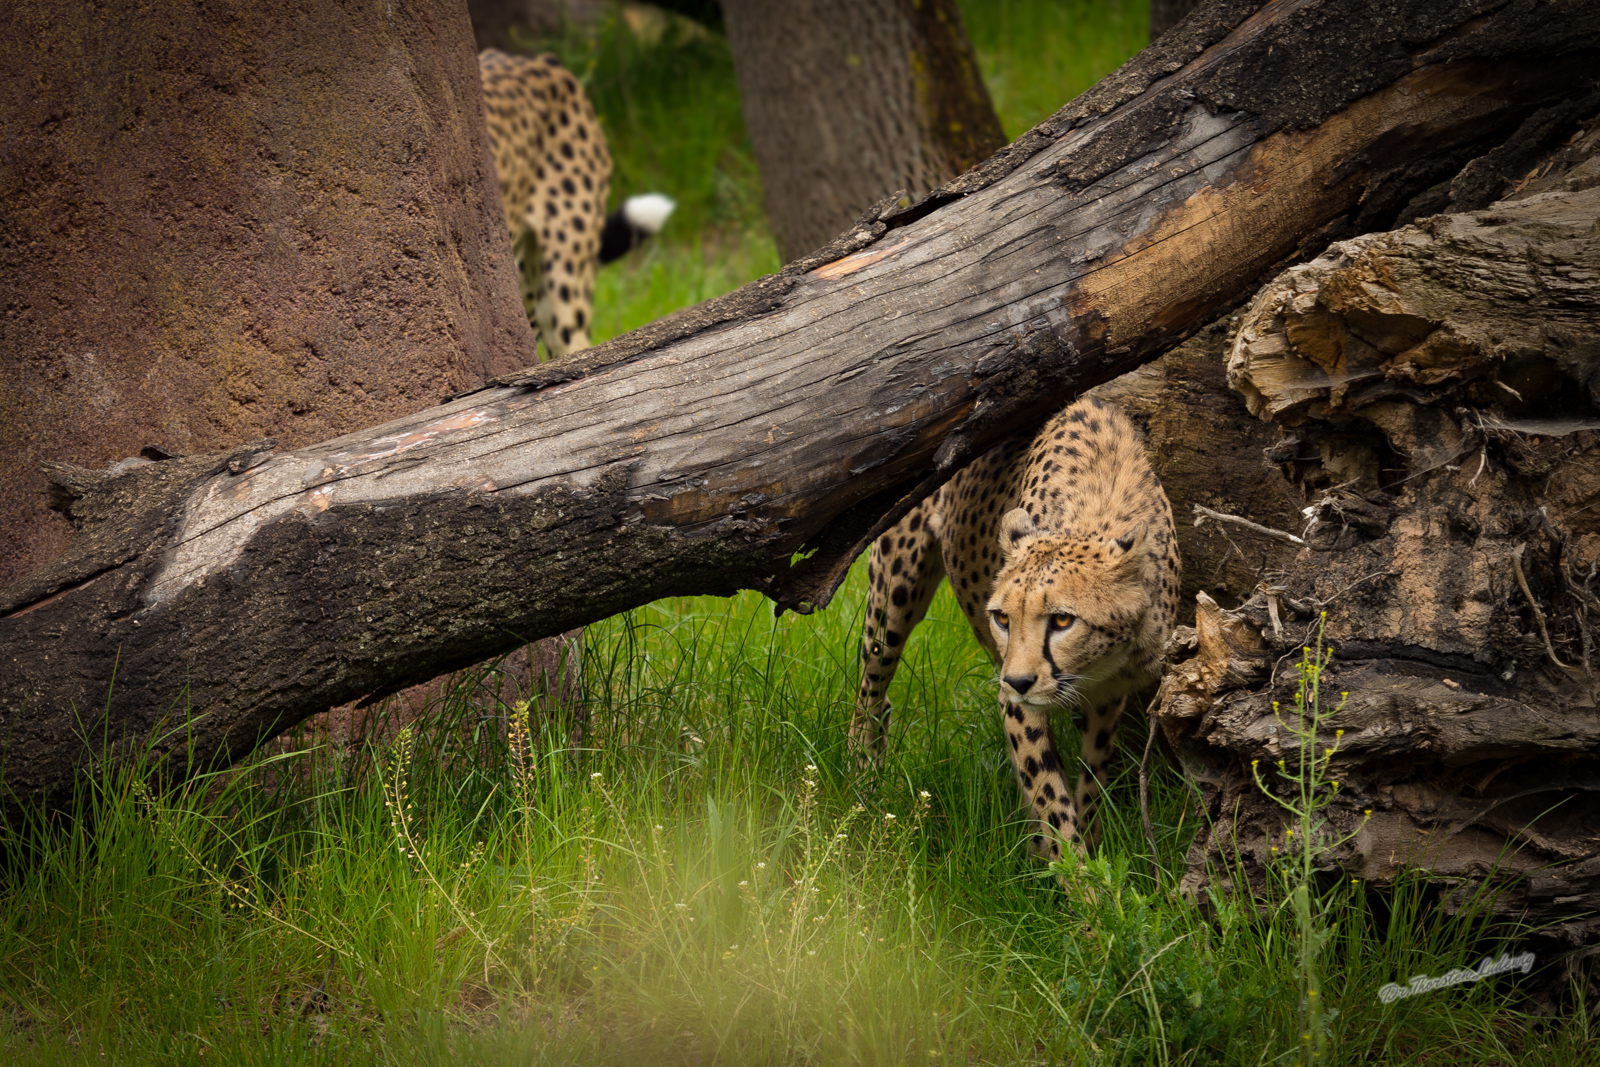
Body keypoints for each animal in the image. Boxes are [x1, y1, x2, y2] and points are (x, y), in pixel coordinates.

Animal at [857, 398, 1184, 857]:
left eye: (1063, 619)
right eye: (1002, 618)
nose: (1019, 680)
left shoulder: (1108, 697)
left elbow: (1091, 780)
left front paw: (1089, 845)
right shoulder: (1015, 703)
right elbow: (1050, 794)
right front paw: (1078, 871)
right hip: (895, 589)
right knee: (871, 688)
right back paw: (862, 783)